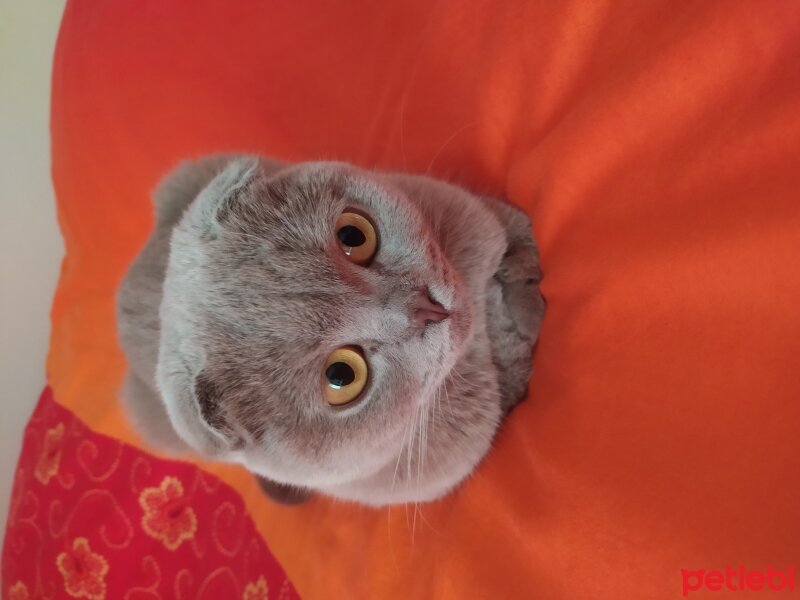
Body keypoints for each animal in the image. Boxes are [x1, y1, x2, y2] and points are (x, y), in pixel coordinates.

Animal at [117, 156, 544, 506]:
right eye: (341, 376)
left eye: (354, 236)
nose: (427, 309)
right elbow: (510, 366)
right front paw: (525, 328)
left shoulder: (474, 215)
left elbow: (509, 226)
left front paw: (525, 287)